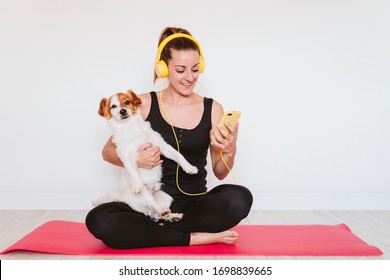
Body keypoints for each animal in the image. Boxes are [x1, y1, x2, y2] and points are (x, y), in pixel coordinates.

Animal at [93, 89, 198, 221]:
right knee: (153, 205)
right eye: (113, 106)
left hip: (165, 196)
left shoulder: (162, 146)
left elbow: (178, 155)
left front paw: (190, 168)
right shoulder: (126, 158)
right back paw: (163, 210)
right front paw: (137, 185)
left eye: (127, 102)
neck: (130, 127)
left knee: (158, 214)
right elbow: (133, 172)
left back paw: (172, 215)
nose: (122, 111)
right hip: (145, 195)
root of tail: (123, 197)